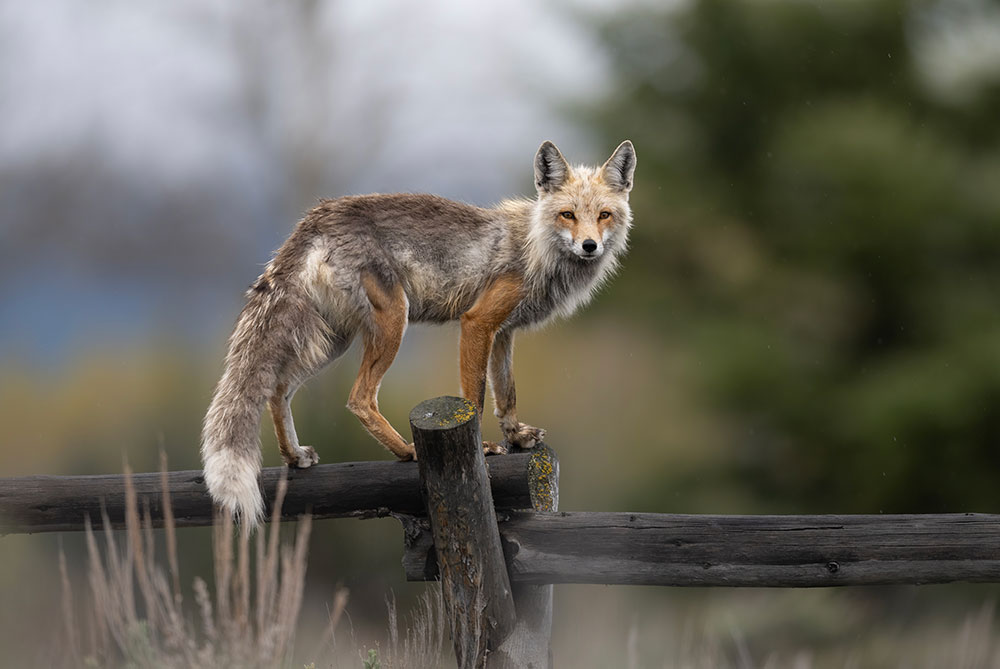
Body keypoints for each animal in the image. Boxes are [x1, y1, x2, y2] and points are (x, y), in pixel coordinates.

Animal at [200, 141, 636, 524]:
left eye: (604, 215)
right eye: (567, 215)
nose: (589, 246)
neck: (534, 248)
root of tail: (318, 215)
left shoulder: (504, 332)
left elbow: (507, 394)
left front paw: (517, 437)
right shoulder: (477, 322)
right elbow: (475, 398)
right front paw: (483, 449)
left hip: (333, 341)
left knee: (277, 390)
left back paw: (294, 457)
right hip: (393, 321)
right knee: (359, 398)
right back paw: (407, 451)